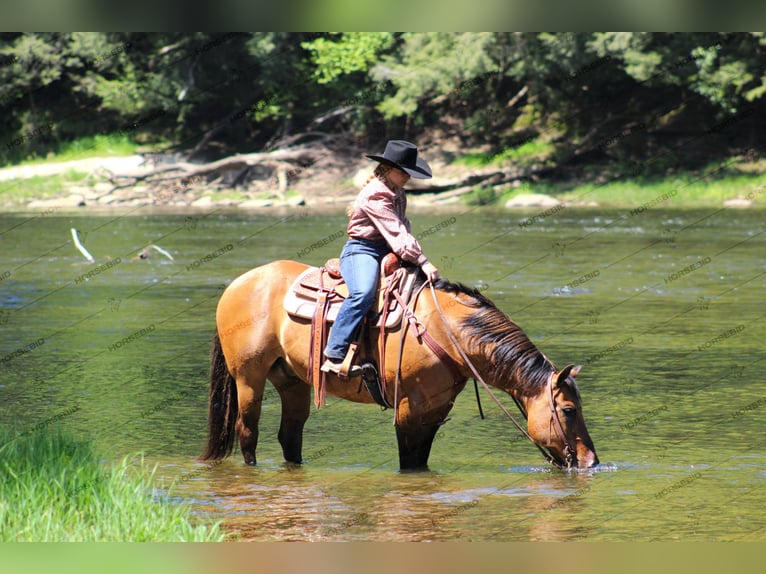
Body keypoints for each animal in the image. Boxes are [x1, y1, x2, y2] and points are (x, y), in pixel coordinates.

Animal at [202, 260, 600, 472]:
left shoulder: (435, 411)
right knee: (247, 432)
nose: (591, 461)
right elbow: (409, 462)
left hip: (292, 381)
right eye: (568, 410)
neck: (445, 331)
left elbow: (421, 459)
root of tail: (238, 283)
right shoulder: (408, 408)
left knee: (290, 436)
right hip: (248, 378)